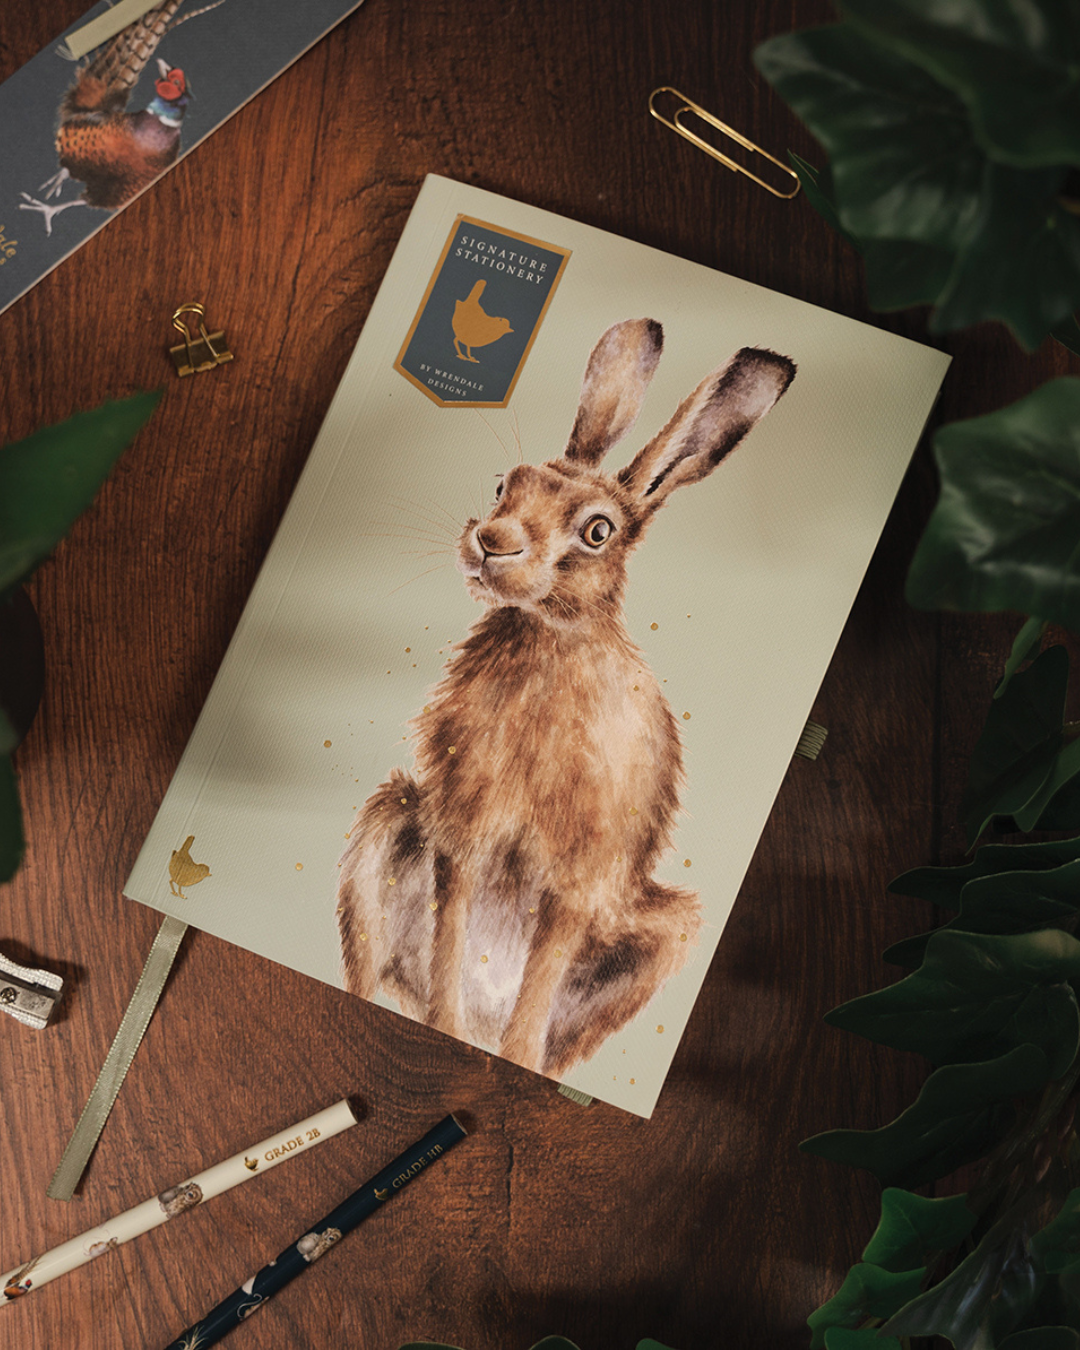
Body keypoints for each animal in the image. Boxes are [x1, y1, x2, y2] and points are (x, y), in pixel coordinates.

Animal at [336, 317, 795, 1078]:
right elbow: (449, 936)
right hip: (387, 823)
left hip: (662, 933)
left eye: (598, 531)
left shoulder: (580, 876)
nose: (491, 542)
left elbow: (541, 984)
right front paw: (445, 1026)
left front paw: (506, 1052)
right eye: (504, 484)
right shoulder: (461, 833)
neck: (548, 641)